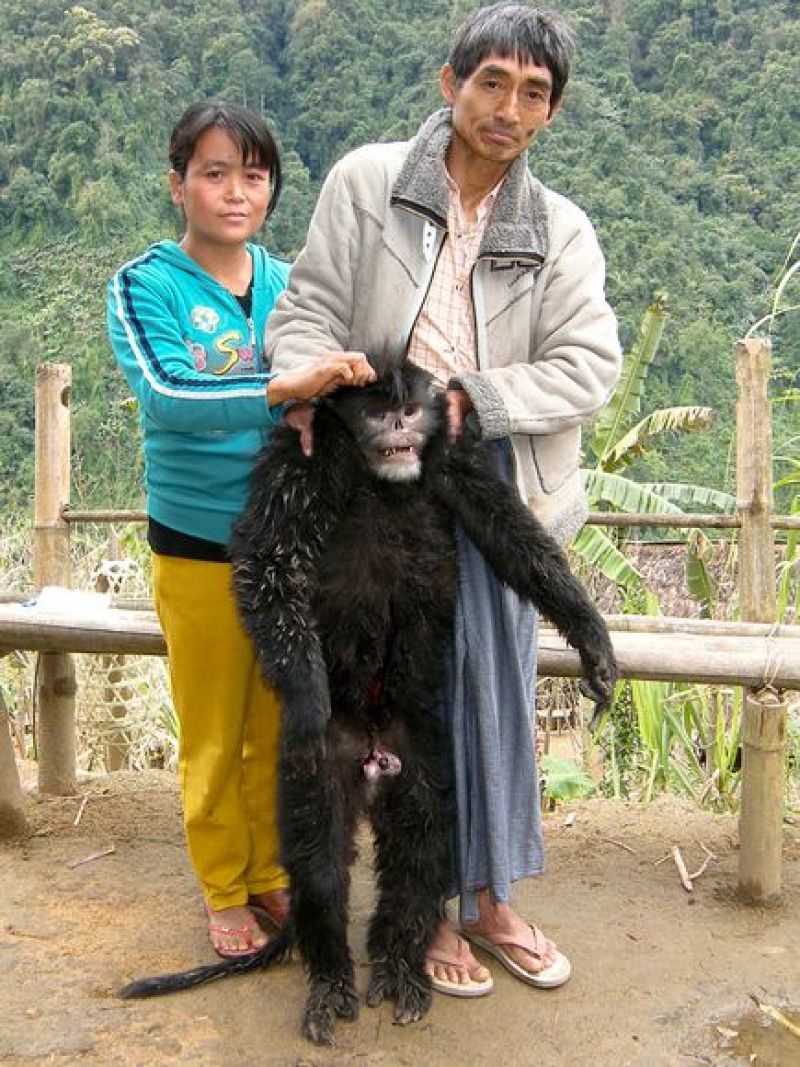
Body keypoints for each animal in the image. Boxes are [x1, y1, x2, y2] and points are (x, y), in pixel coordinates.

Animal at [120, 356, 618, 1046]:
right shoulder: (301, 463)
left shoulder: (453, 458)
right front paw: (306, 699)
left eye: (409, 410)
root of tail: (375, 752)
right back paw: (332, 979)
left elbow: (513, 538)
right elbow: (267, 562)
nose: (401, 430)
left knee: (421, 838)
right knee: (321, 857)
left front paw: (592, 641)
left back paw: (399, 964)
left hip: (418, 747)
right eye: (379, 412)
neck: (382, 481)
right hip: (332, 760)